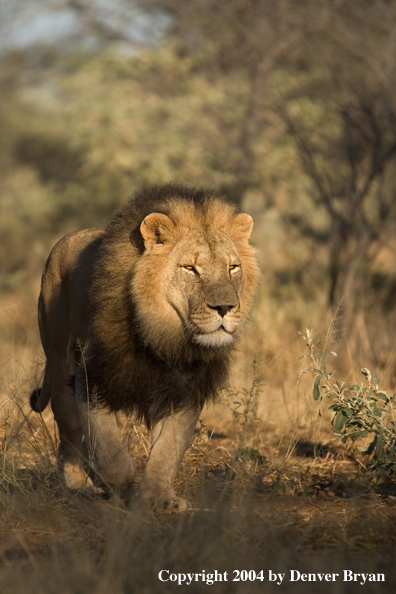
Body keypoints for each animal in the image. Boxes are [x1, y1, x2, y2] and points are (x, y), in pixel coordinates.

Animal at [31, 184, 260, 508]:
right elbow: (107, 449)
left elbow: (167, 450)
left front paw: (159, 498)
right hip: (59, 362)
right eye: (190, 268)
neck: (165, 336)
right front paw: (119, 481)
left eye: (233, 267)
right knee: (69, 434)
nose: (225, 307)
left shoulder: (185, 390)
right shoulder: (93, 377)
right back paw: (78, 485)